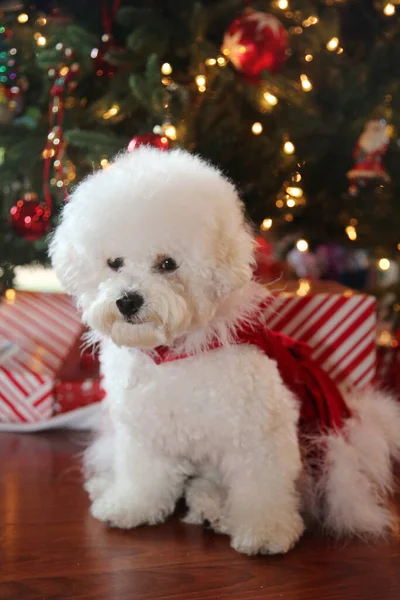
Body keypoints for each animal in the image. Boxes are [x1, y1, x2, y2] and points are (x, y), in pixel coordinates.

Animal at [50, 148, 400, 556]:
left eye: (168, 263)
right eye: (114, 263)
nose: (127, 301)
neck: (176, 355)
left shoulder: (258, 438)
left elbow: (261, 490)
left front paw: (265, 531)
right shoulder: (145, 435)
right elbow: (143, 477)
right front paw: (131, 505)